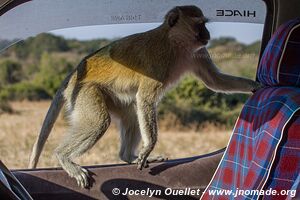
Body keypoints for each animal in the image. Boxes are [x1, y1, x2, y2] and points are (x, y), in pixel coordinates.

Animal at [28, 5, 262, 188]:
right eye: (199, 24)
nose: (207, 35)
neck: (175, 42)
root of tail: (74, 74)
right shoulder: (158, 60)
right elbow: (146, 98)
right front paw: (149, 146)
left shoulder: (197, 53)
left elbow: (215, 81)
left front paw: (256, 86)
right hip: (85, 92)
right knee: (99, 122)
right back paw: (64, 157)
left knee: (131, 115)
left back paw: (127, 157)